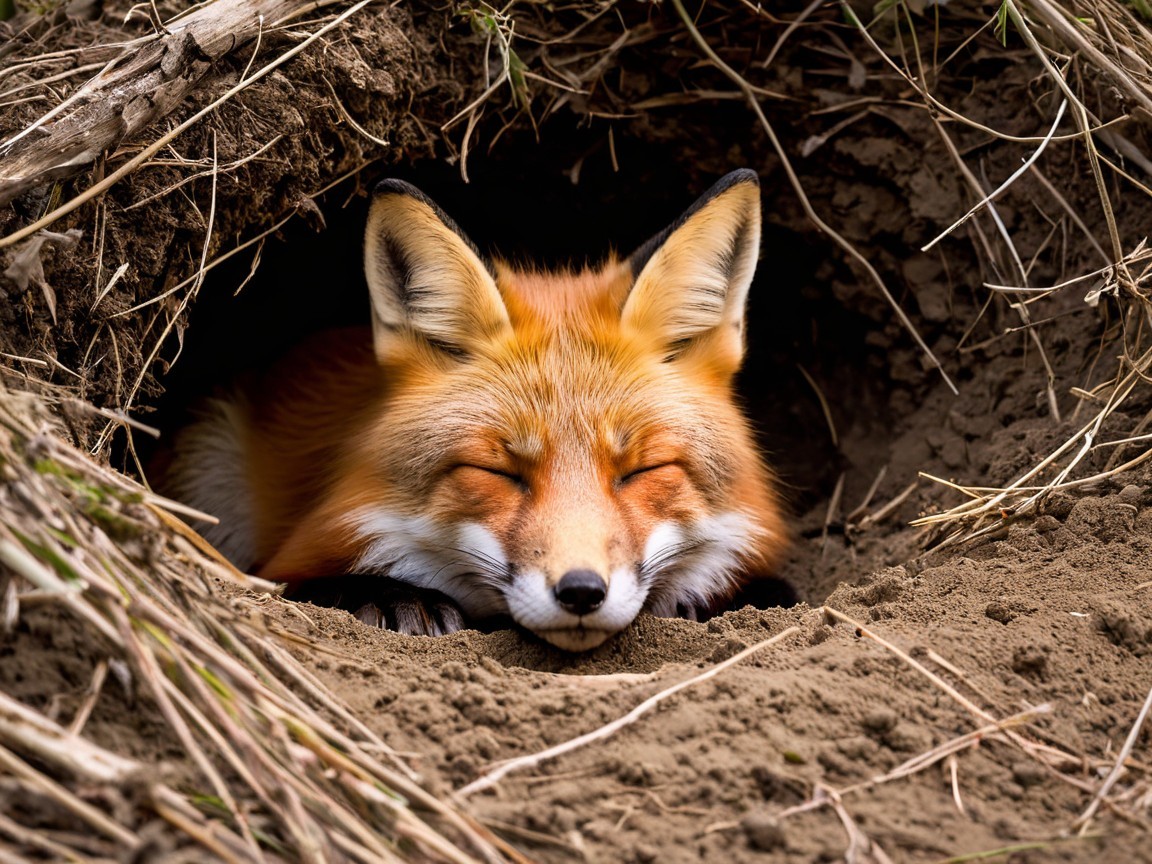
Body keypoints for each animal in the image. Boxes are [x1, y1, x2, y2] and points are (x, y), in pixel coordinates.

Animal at [161, 169, 788, 651]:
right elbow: (303, 583)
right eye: (498, 473)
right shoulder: (286, 559)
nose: (581, 591)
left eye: (643, 471)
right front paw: (393, 597)